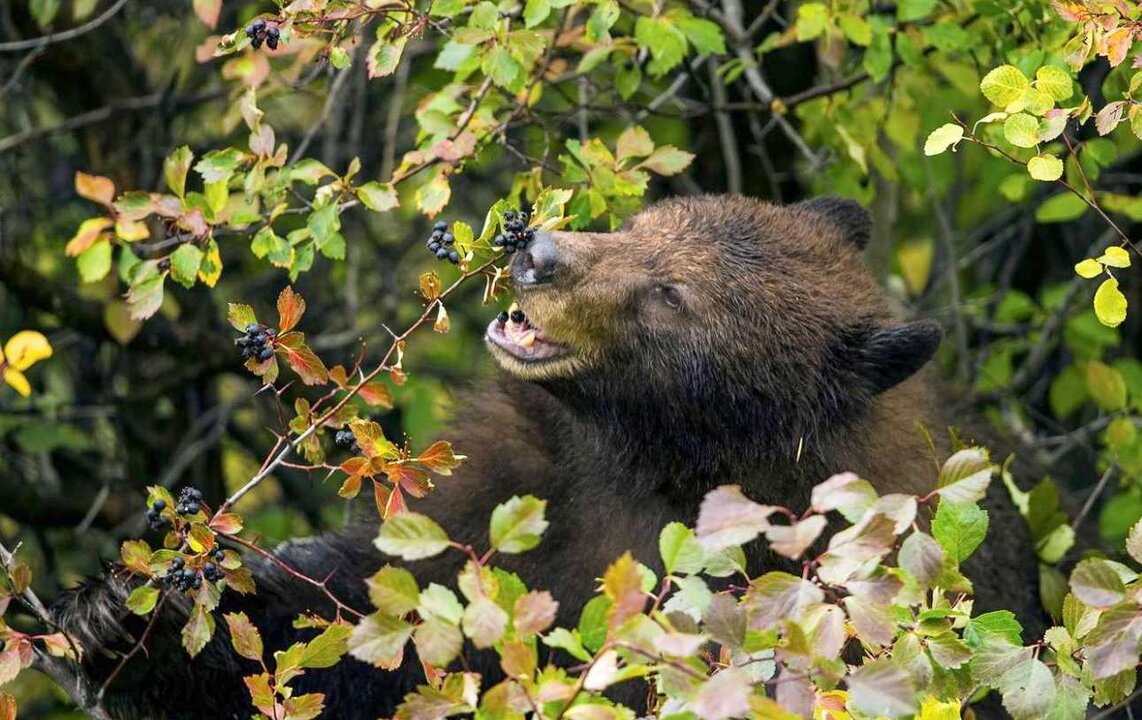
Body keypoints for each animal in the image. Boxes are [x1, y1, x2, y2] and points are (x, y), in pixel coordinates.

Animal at [55, 193, 1046, 720]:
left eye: (672, 293)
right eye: (649, 219)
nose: (538, 250)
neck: (664, 465)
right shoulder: (527, 485)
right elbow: (362, 615)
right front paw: (116, 619)